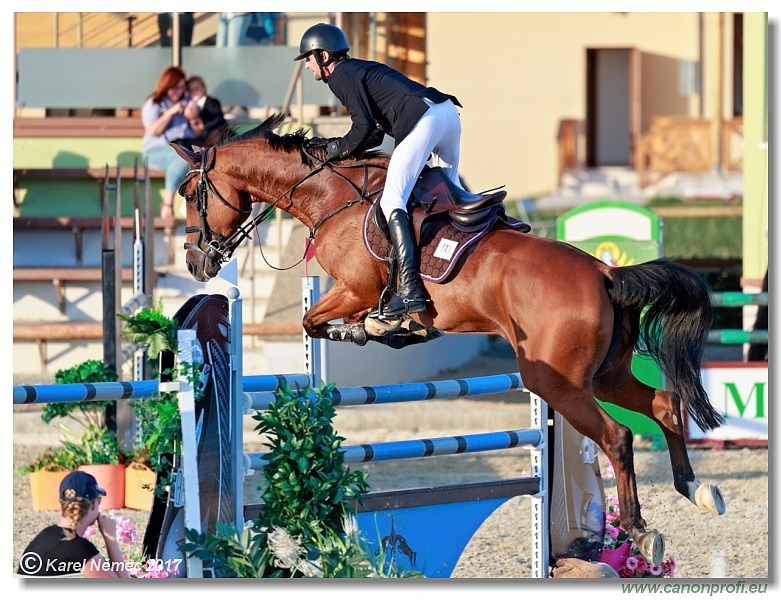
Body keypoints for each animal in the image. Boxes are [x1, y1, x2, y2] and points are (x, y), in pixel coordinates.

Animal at [171, 112, 724, 568]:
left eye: (188, 192)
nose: (196, 263)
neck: (329, 197)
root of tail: (606, 273)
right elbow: (319, 323)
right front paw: (391, 328)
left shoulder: (354, 288)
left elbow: (314, 322)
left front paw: (372, 328)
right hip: (603, 375)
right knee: (665, 404)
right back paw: (696, 489)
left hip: (555, 382)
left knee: (617, 437)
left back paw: (641, 530)